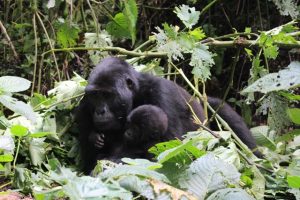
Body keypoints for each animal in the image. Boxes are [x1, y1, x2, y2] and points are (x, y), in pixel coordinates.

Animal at [77, 57, 260, 173]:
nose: (100, 111)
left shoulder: (161, 92)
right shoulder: (84, 105)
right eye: (95, 96)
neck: (135, 93)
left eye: (107, 95)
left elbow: (169, 155)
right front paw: (95, 140)